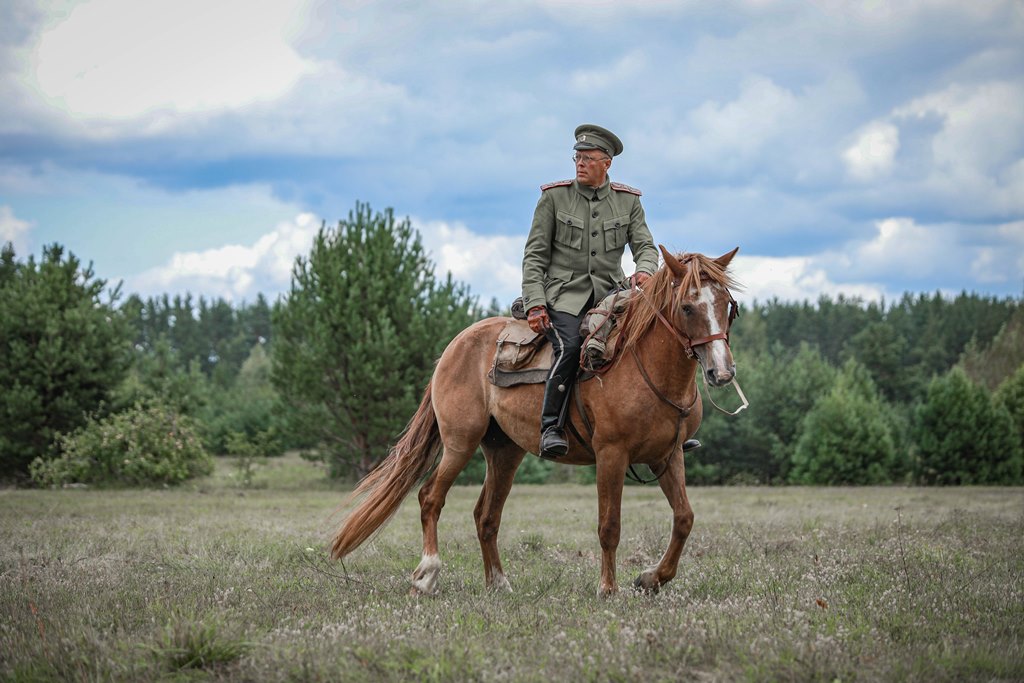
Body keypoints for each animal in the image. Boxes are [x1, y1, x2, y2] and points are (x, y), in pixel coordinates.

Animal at [331, 244, 741, 593]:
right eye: (687, 307)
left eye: (727, 305)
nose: (721, 372)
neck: (646, 367)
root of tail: (453, 346)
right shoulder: (611, 455)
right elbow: (609, 526)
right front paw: (608, 588)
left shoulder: (668, 456)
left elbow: (684, 518)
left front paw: (651, 578)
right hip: (460, 443)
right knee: (431, 497)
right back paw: (427, 574)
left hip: (505, 452)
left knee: (486, 516)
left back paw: (498, 583)